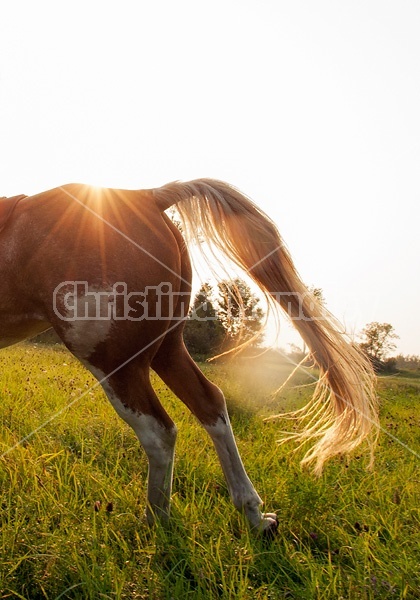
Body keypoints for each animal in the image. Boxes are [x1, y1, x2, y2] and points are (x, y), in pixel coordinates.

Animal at [0, 179, 378, 536]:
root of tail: (148, 196)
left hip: (116, 364)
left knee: (159, 432)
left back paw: (157, 521)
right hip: (167, 351)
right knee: (210, 404)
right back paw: (254, 516)